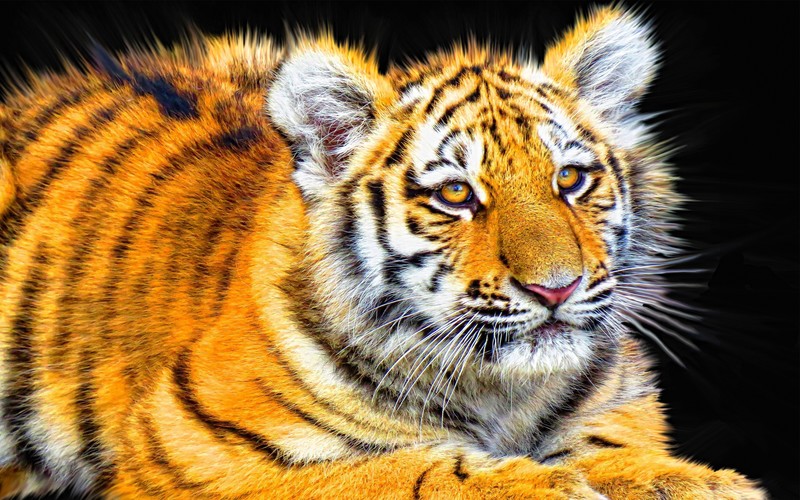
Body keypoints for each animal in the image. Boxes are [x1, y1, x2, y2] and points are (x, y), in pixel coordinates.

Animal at [0, 5, 766, 499]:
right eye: (456, 194)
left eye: (571, 180)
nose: (557, 288)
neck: (503, 394)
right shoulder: (189, 450)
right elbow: (392, 470)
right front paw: (543, 486)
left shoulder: (613, 417)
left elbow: (626, 457)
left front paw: (696, 483)